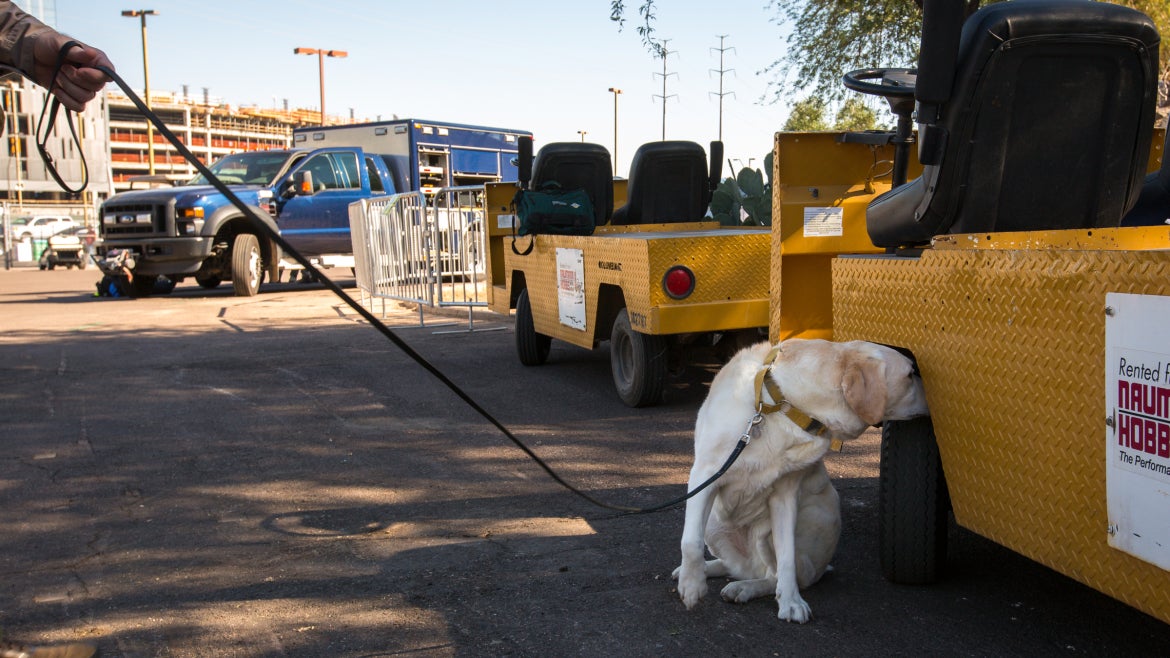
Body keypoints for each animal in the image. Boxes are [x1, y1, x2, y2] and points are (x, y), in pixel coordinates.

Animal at [673, 337, 926, 618]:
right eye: (910, 375)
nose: (932, 397)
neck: (783, 406)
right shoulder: (704, 475)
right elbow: (690, 541)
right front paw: (692, 585)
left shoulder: (785, 496)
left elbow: (786, 560)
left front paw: (791, 602)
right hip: (714, 524)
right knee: (733, 564)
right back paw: (703, 570)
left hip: (772, 533)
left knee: (771, 575)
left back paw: (745, 587)